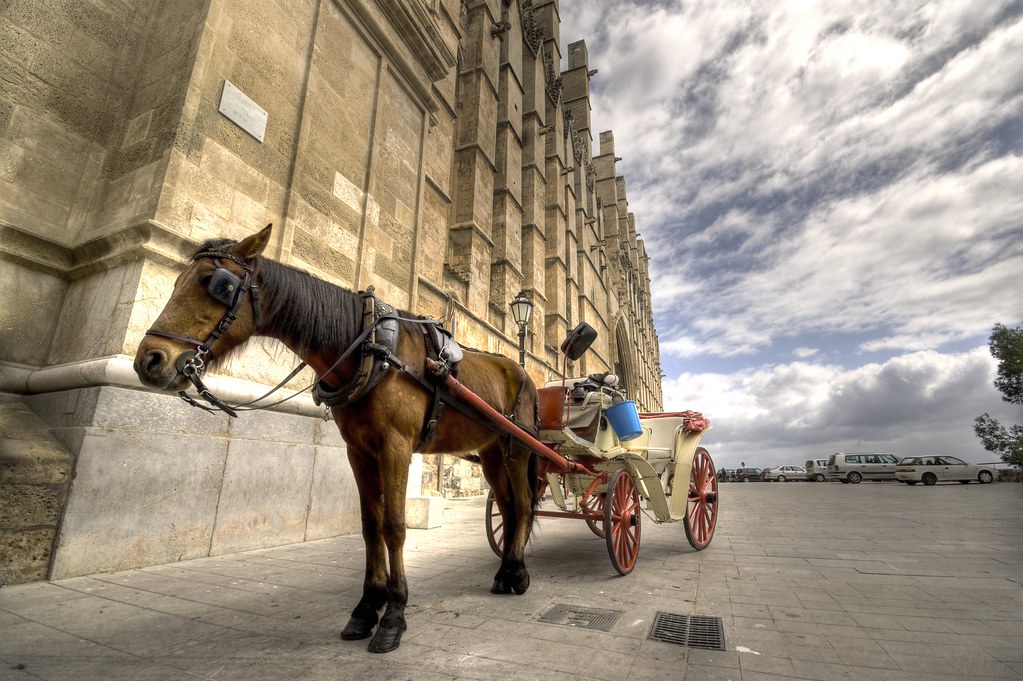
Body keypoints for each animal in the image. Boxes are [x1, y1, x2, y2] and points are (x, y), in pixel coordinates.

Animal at [133, 225, 539, 653]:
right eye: (178, 281)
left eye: (220, 286)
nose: (149, 360)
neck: (370, 349)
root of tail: (522, 371)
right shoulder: (359, 451)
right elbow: (370, 525)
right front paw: (366, 608)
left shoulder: (396, 447)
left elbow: (395, 526)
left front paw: (393, 616)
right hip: (492, 452)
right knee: (508, 508)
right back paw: (505, 571)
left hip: (518, 449)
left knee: (523, 505)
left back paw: (518, 573)